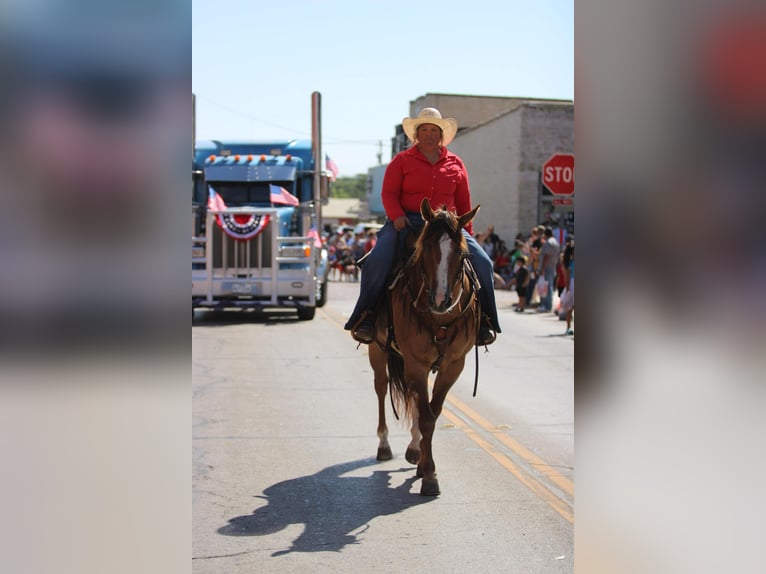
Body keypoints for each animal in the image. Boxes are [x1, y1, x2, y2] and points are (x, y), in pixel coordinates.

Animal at [370, 198, 480, 496]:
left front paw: (422, 463)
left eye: (462, 253)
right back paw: (384, 445)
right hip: (378, 350)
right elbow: (427, 417)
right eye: (426, 248)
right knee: (382, 387)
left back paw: (413, 449)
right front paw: (430, 475)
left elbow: (432, 411)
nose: (441, 300)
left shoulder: (453, 365)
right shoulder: (416, 363)